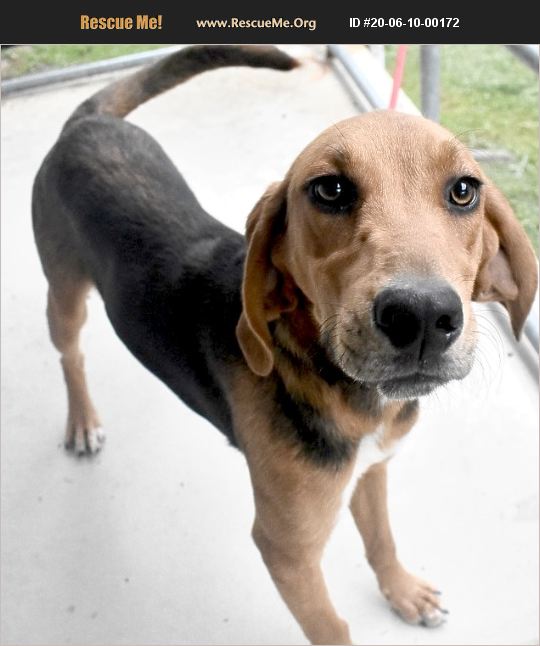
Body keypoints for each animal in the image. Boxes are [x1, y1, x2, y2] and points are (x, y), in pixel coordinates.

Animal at [31, 43, 536, 644]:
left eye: (464, 190)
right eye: (329, 190)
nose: (422, 316)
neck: (343, 391)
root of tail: (88, 123)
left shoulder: (373, 470)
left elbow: (382, 539)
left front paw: (403, 592)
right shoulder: (287, 551)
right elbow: (333, 628)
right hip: (64, 295)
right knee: (70, 354)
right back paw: (82, 421)